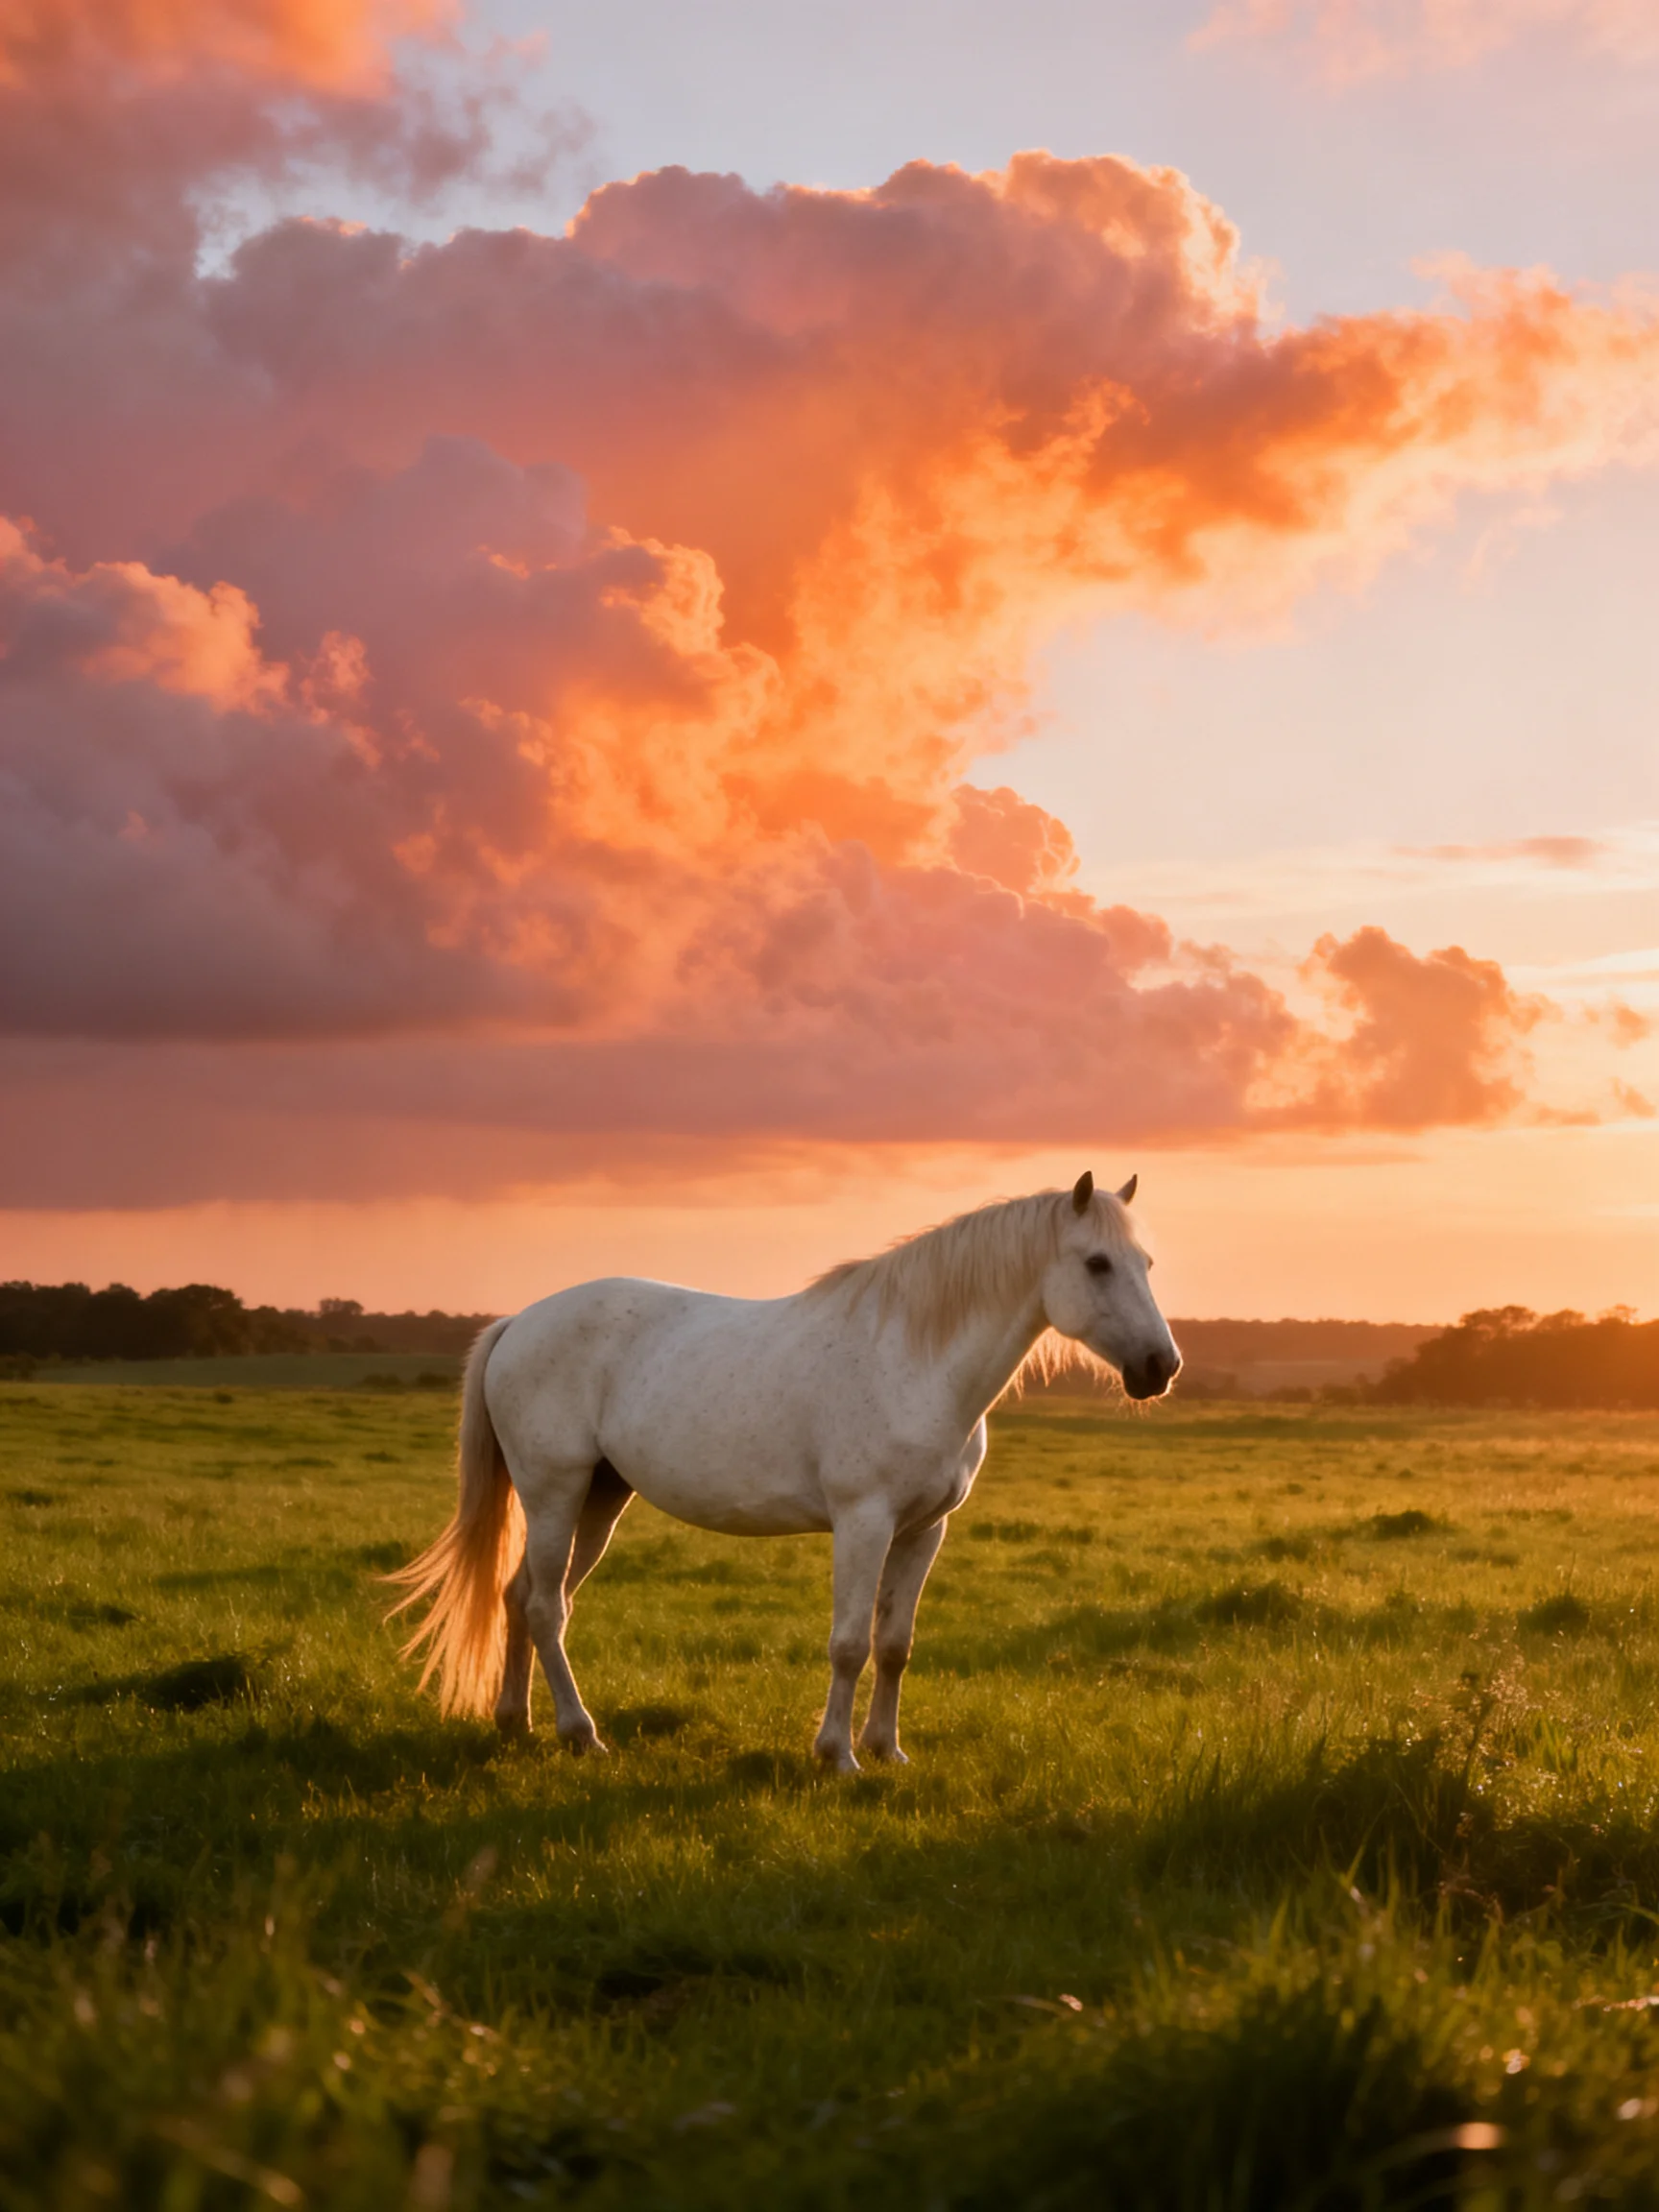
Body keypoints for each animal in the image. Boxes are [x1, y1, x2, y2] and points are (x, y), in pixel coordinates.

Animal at [388, 1170, 1180, 1772]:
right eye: (1097, 1263)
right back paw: (581, 1734)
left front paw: (887, 1752)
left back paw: (515, 1723)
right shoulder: (864, 1523)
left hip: (600, 1499)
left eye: (1147, 1265)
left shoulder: (924, 1531)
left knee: (522, 1595)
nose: (1160, 1367)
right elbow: (850, 1644)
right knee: (547, 1607)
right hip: (555, 1491)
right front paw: (837, 1756)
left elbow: (894, 1645)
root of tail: (517, 1322)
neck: (916, 1360)